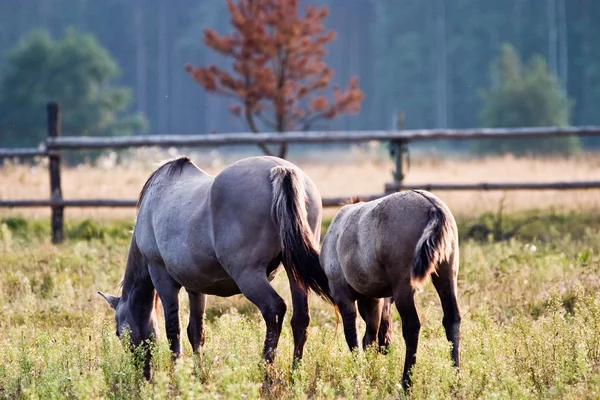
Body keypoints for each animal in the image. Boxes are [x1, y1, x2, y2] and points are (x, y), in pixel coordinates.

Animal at [98, 155, 332, 376]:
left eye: (118, 332)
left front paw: (176, 375)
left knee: (274, 309)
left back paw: (266, 371)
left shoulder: (163, 279)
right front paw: (197, 373)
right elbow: (195, 331)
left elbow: (173, 330)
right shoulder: (195, 288)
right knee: (300, 319)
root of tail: (281, 170)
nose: (143, 371)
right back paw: (295, 373)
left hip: (249, 275)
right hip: (295, 274)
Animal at [322, 191, 462, 390]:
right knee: (452, 319)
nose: (386, 345)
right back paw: (455, 380)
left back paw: (406, 384)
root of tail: (433, 207)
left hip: (403, 285)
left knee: (412, 326)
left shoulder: (343, 295)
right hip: (446, 275)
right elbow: (369, 337)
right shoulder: (372, 298)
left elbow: (353, 337)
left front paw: (359, 375)